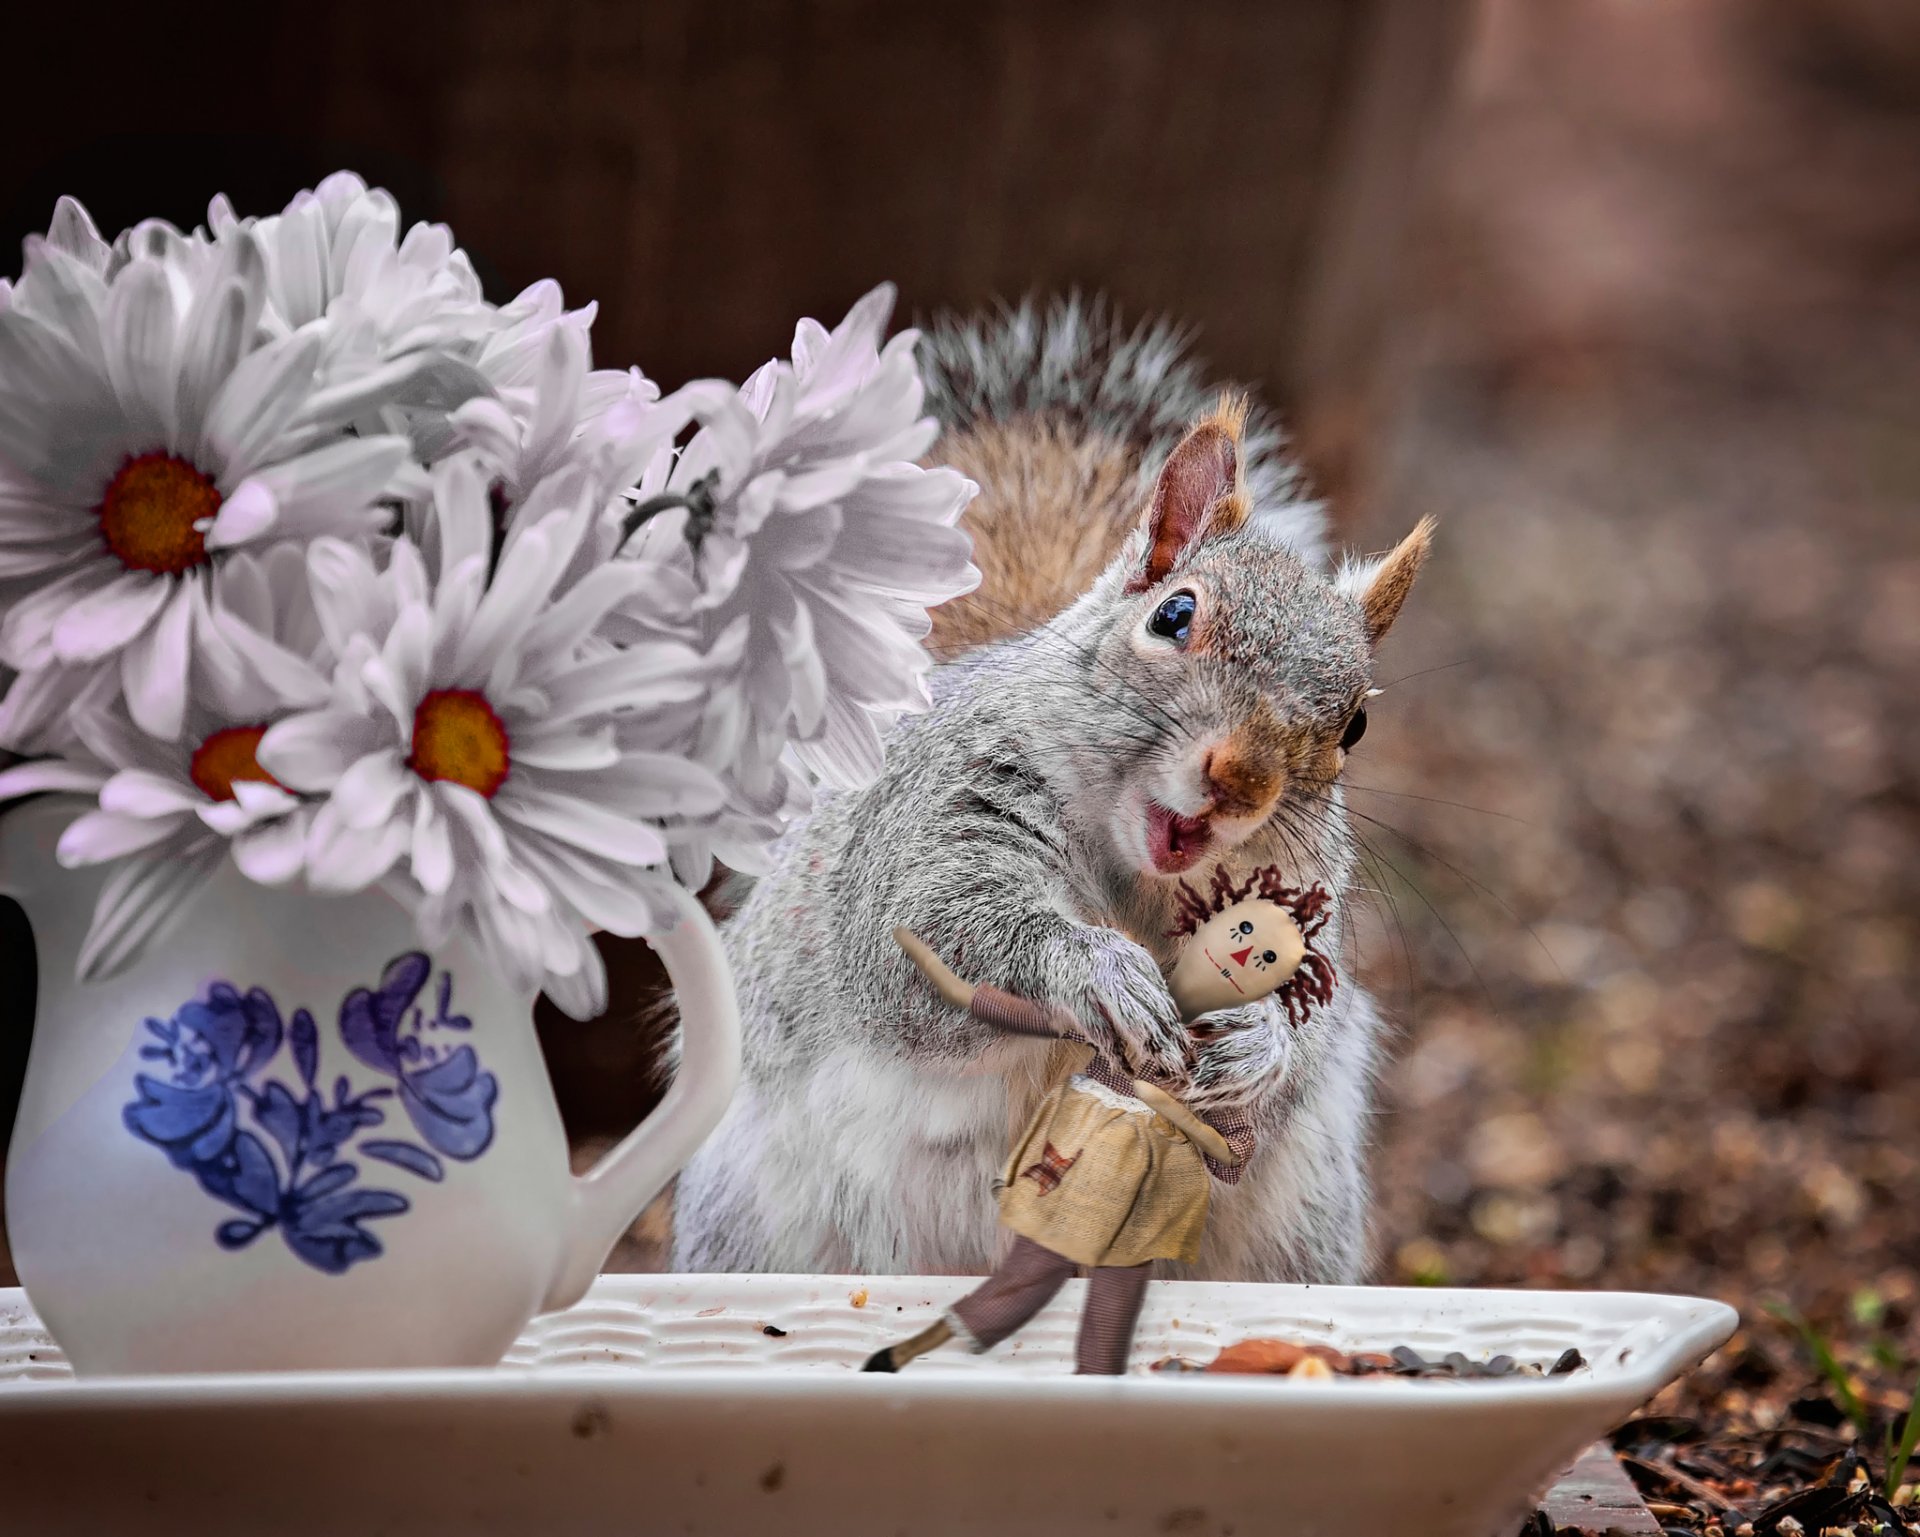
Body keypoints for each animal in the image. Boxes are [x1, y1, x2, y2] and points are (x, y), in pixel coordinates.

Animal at [668, 297, 1432, 1283]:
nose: (1241, 779)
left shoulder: (1308, 912)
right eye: (1174, 614)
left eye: (1354, 727)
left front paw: (1259, 1043)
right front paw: (1095, 971)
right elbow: (925, 933)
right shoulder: (928, 817)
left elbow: (1310, 1033)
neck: (1133, 875)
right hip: (753, 1220)